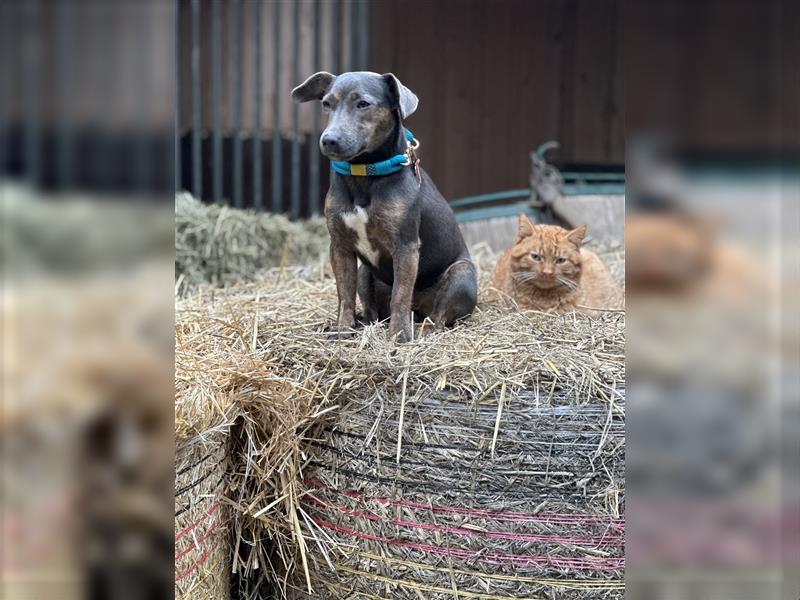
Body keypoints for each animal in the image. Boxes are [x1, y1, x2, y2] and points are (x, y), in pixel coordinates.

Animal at [292, 71, 476, 342]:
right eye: (326, 103)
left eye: (363, 104)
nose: (329, 140)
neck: (364, 173)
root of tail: (419, 309)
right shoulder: (340, 247)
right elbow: (344, 294)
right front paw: (342, 328)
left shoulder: (406, 247)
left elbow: (400, 294)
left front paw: (399, 335)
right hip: (364, 274)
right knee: (372, 311)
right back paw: (361, 323)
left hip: (461, 273)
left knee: (438, 316)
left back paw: (423, 328)